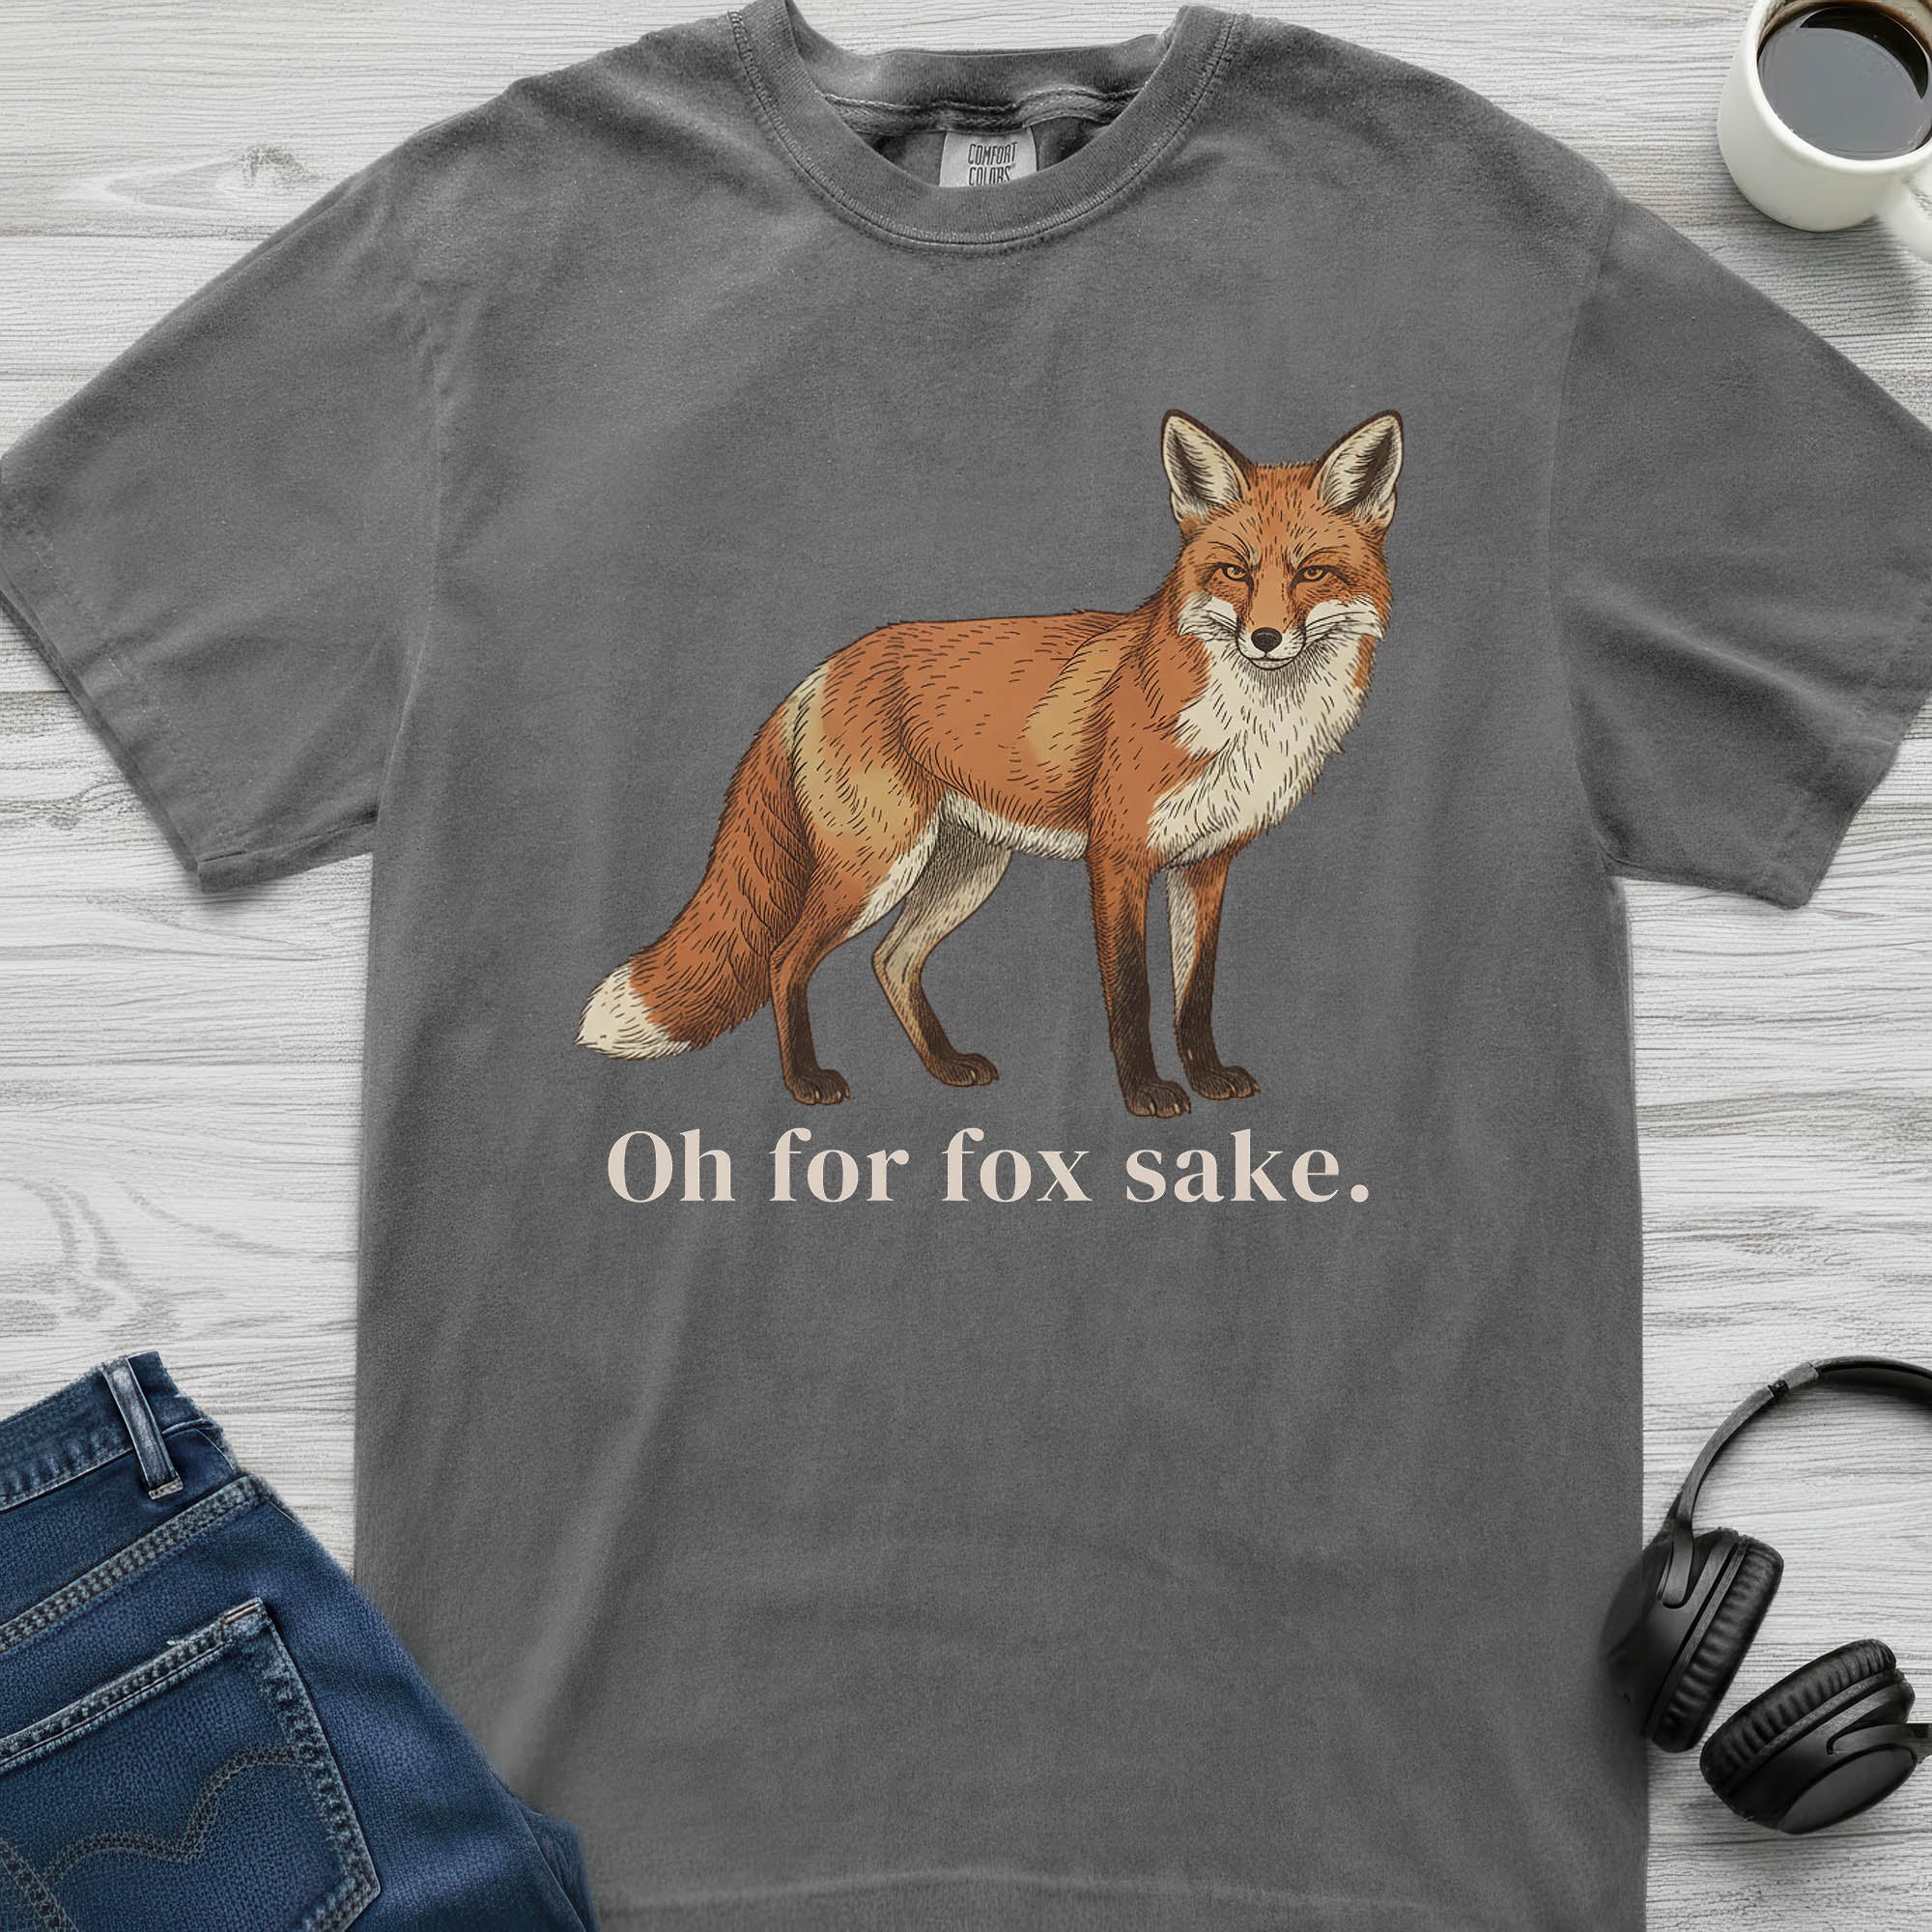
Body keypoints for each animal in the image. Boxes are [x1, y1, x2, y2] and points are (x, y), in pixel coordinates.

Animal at [578, 409, 1402, 1118]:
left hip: (964, 870)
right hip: (874, 866)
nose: (1264, 638)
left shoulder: (1205, 865)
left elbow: (1194, 995)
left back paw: (945, 1067)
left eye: (1313, 573)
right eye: (1236, 571)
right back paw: (807, 1081)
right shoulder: (1119, 858)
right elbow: (1132, 994)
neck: (1251, 724)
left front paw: (1207, 1077)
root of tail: (826, 670)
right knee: (787, 959)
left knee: (891, 961)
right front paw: (1145, 1093)